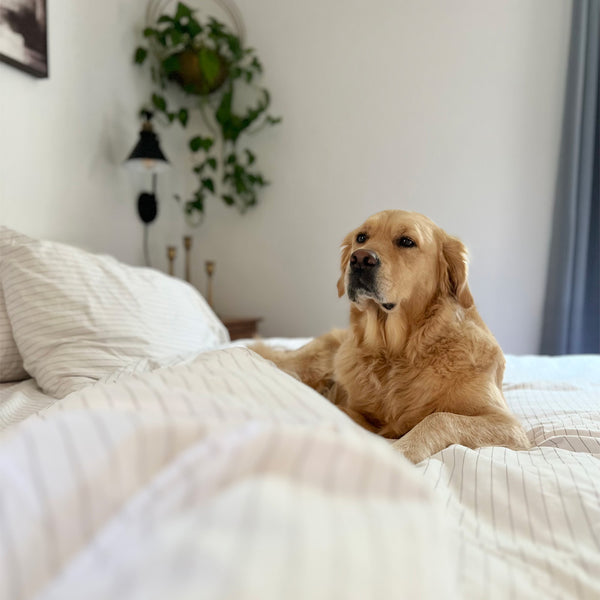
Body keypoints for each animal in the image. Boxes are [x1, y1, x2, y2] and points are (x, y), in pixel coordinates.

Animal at [251, 211, 528, 464]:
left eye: (406, 241)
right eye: (361, 237)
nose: (360, 259)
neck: (396, 352)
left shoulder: (509, 425)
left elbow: (440, 418)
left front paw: (401, 450)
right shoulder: (356, 409)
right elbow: (344, 412)